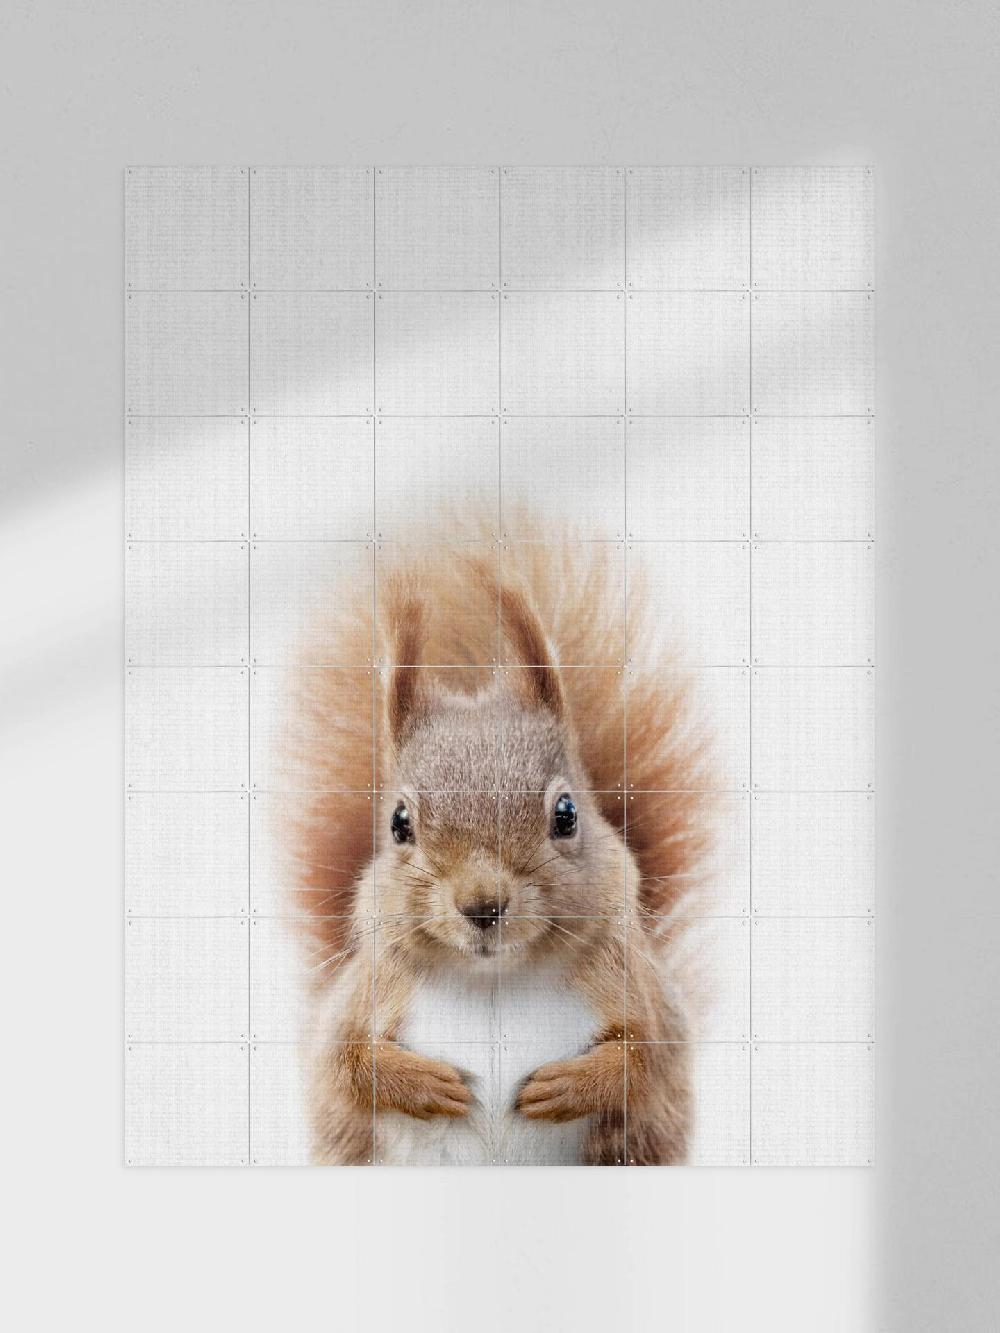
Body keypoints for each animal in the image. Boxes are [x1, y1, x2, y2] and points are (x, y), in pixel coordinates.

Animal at [289, 518, 712, 1166]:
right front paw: (425, 1083)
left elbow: (650, 1056)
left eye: (566, 814)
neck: (494, 980)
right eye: (399, 824)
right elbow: (344, 1062)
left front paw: (571, 1084)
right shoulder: (364, 994)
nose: (482, 906)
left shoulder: (640, 990)